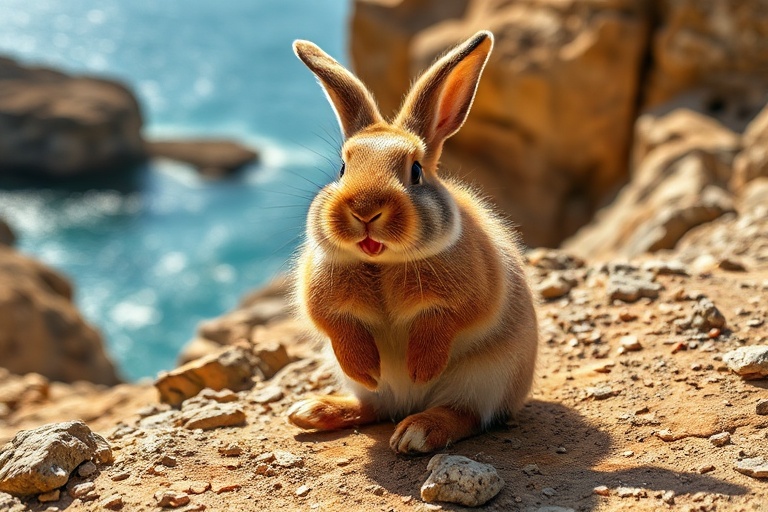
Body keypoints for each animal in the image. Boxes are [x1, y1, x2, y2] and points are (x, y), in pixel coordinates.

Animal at [286, 30, 538, 454]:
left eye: (416, 171)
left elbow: (444, 322)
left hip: (486, 379)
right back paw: (314, 411)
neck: (382, 263)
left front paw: (420, 369)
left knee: (466, 415)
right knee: (373, 406)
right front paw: (367, 369)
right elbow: (337, 326)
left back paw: (416, 431)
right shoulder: (325, 300)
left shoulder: (468, 298)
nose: (365, 210)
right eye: (343, 168)